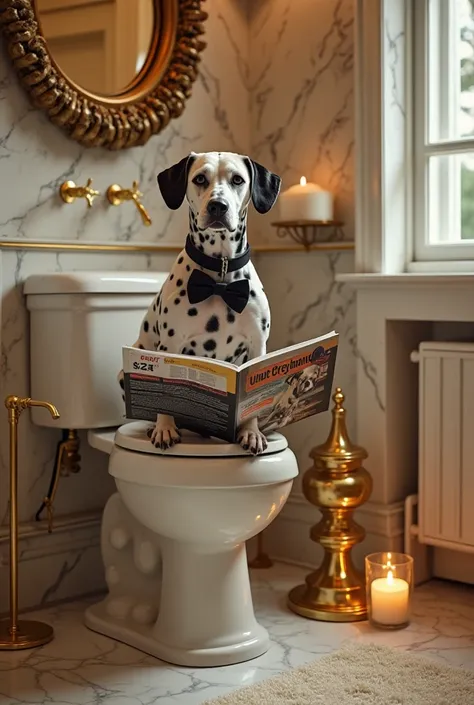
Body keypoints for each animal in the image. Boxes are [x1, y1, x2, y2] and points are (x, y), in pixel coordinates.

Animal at [119, 151, 282, 454]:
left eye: (237, 179)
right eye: (200, 179)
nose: (218, 206)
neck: (220, 280)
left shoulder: (257, 347)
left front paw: (251, 432)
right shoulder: (170, 346)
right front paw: (165, 427)